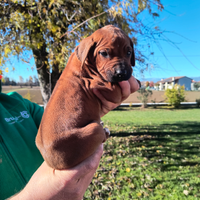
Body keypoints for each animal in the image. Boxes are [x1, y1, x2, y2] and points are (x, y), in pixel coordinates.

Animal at [36, 24, 138, 169]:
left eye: (129, 52)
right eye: (104, 53)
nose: (121, 73)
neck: (84, 61)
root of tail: (53, 162)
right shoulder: (111, 90)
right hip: (94, 129)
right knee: (101, 133)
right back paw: (105, 131)